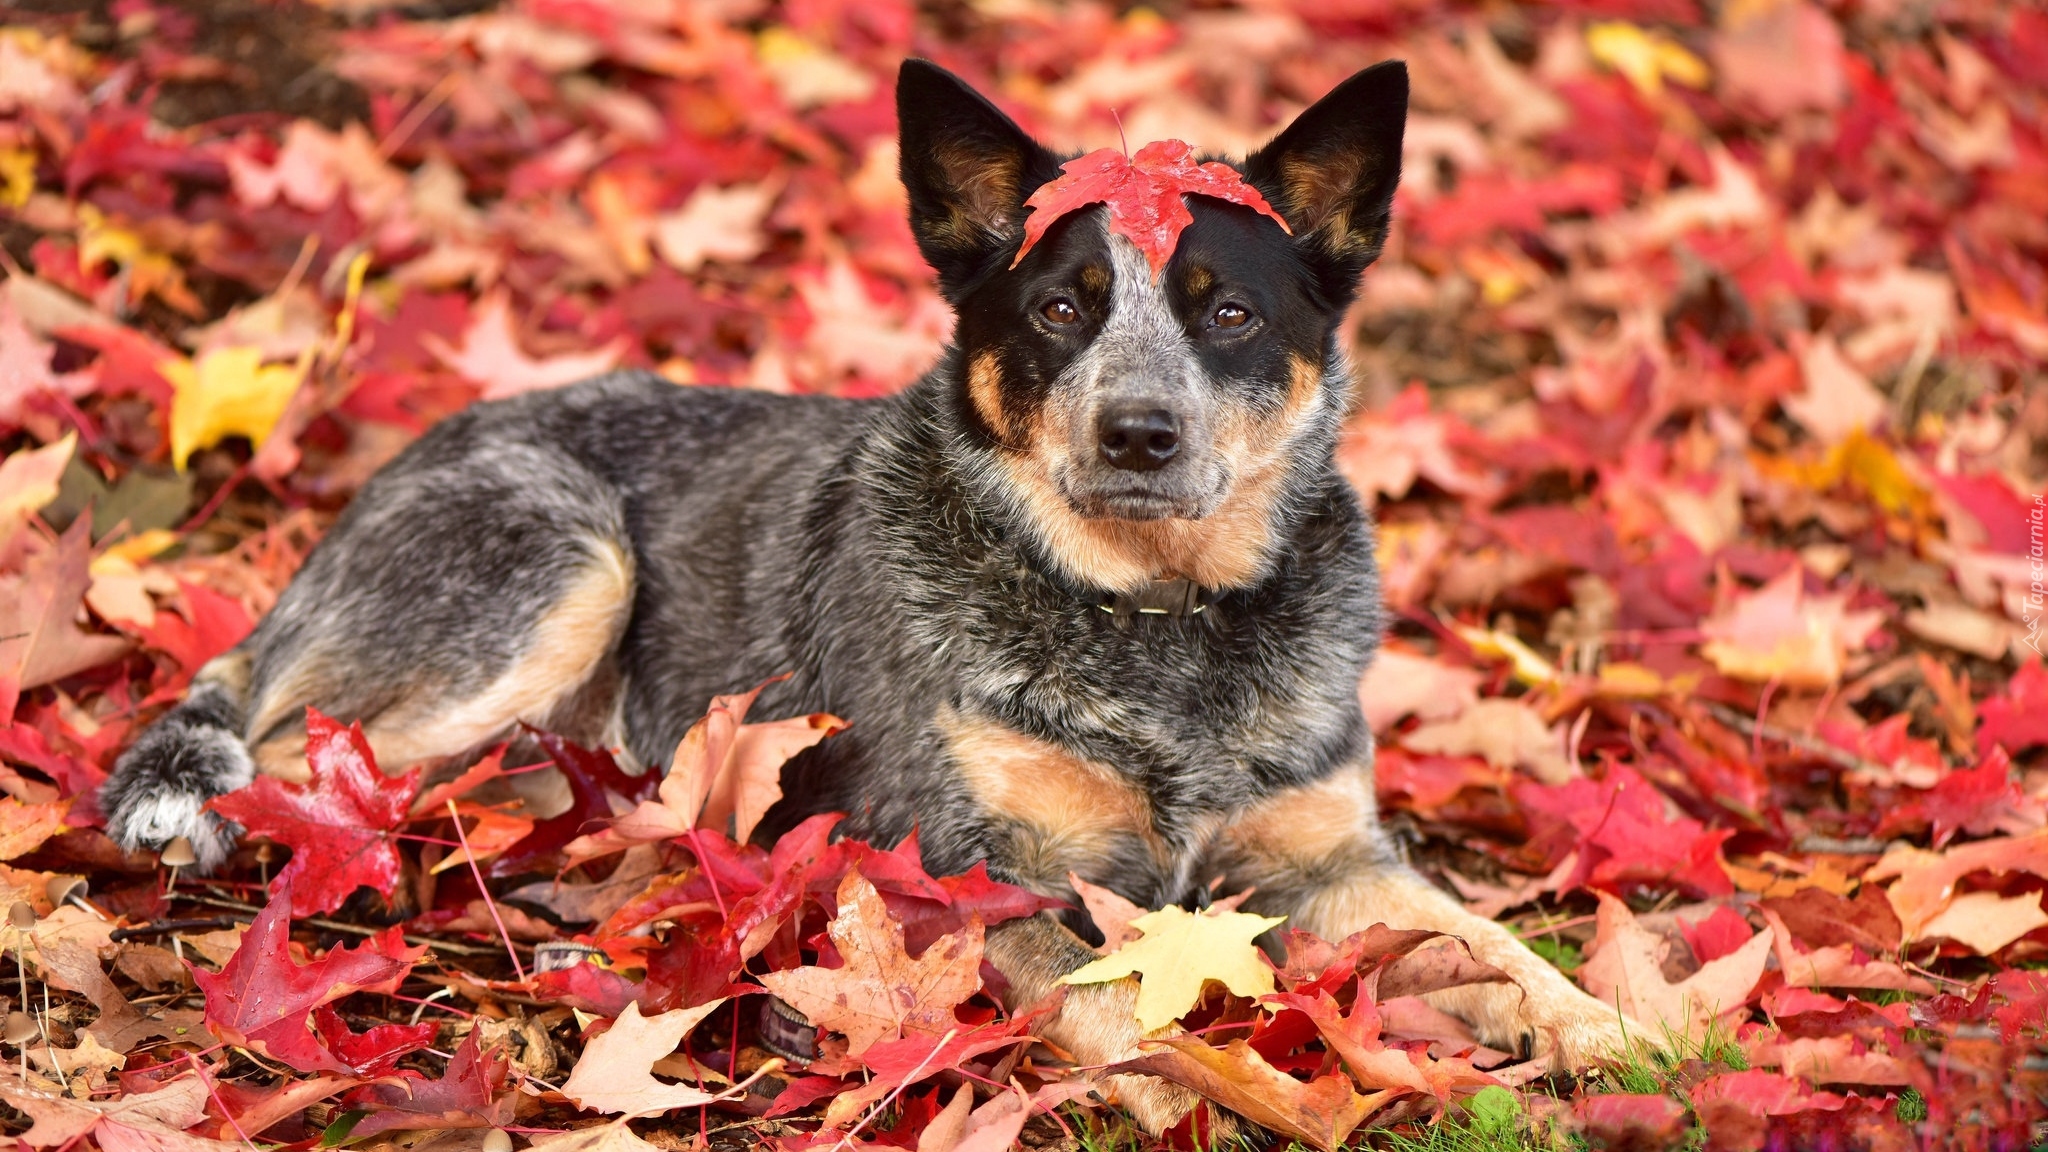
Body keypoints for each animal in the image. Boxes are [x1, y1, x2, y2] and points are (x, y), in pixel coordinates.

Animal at [103, 60, 1638, 1123]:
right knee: (291, 749)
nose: (1138, 430)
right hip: (562, 572)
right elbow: (1133, 1014)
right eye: (1062, 309)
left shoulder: (1333, 859)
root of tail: (398, 464)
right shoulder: (971, 876)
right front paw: (1222, 1084)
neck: (1159, 625)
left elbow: (1490, 942)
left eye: (1229, 310)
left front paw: (1623, 1028)